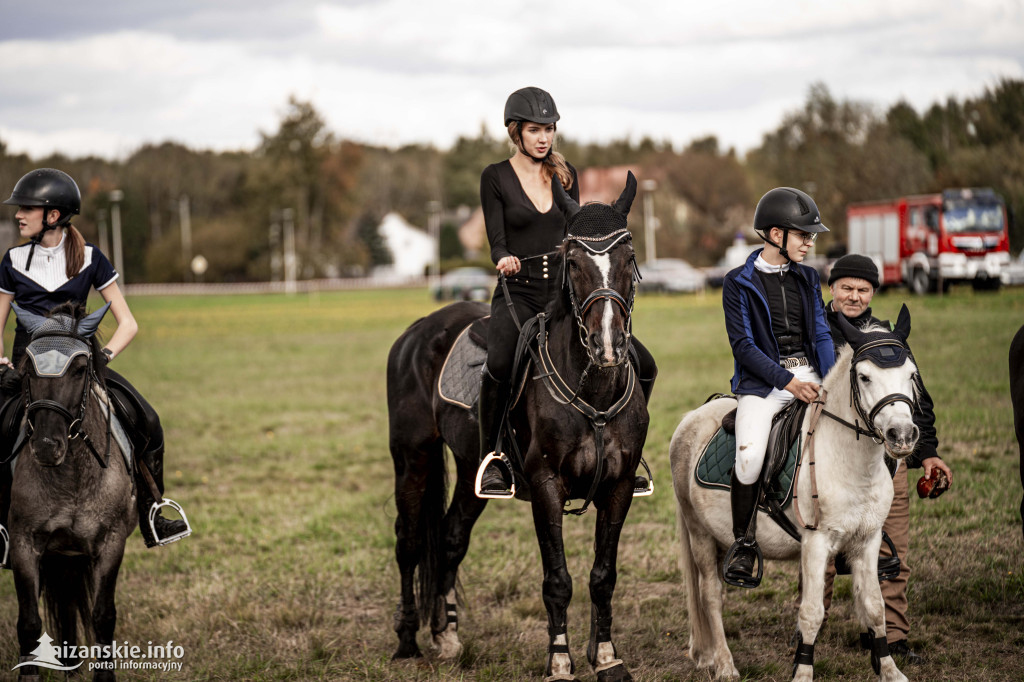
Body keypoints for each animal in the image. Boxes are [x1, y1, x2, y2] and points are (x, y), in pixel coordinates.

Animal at [6, 303, 136, 679]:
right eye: (27, 368)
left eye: (79, 369)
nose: (46, 447)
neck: (71, 479)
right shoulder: (23, 543)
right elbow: (29, 623)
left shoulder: (111, 542)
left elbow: (103, 617)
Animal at [389, 171, 647, 679]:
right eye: (572, 261)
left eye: (629, 258)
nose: (608, 345)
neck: (594, 390)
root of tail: (419, 329)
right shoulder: (546, 487)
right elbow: (558, 579)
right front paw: (561, 660)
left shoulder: (621, 485)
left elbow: (603, 576)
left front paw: (606, 656)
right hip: (413, 458)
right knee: (408, 542)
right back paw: (408, 640)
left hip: (472, 468)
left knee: (450, 537)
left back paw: (447, 636)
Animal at [671, 305, 921, 675]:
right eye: (864, 377)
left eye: (911, 374)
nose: (902, 435)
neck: (853, 463)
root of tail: (691, 418)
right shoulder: (816, 543)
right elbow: (812, 613)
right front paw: (802, 672)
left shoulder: (867, 540)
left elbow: (875, 608)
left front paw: (891, 671)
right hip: (699, 533)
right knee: (711, 595)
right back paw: (725, 664)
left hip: (718, 537)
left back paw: (710, 655)